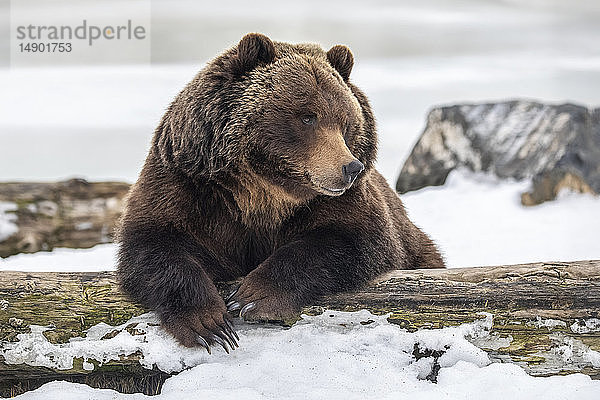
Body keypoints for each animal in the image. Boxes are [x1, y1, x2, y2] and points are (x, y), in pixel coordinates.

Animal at [118, 33, 446, 354]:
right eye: (308, 117)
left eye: (346, 122)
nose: (350, 167)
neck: (262, 190)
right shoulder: (186, 186)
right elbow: (154, 244)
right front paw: (208, 324)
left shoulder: (339, 202)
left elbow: (352, 239)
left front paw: (252, 296)